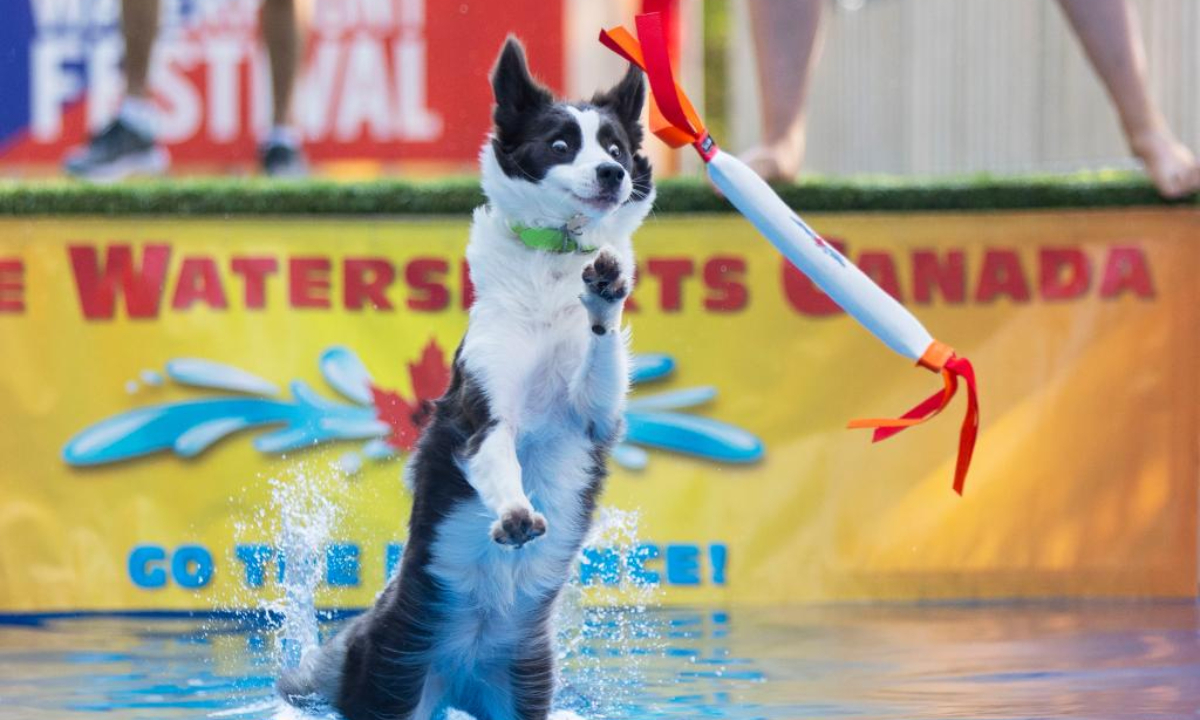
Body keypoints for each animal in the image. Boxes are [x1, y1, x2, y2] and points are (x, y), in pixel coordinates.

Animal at [274, 35, 652, 720]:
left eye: (613, 148)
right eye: (561, 144)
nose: (612, 174)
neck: (552, 268)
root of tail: (457, 674)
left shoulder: (594, 415)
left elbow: (600, 357)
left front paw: (605, 292)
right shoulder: (482, 410)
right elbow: (498, 457)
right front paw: (515, 514)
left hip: (521, 686)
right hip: (393, 679)